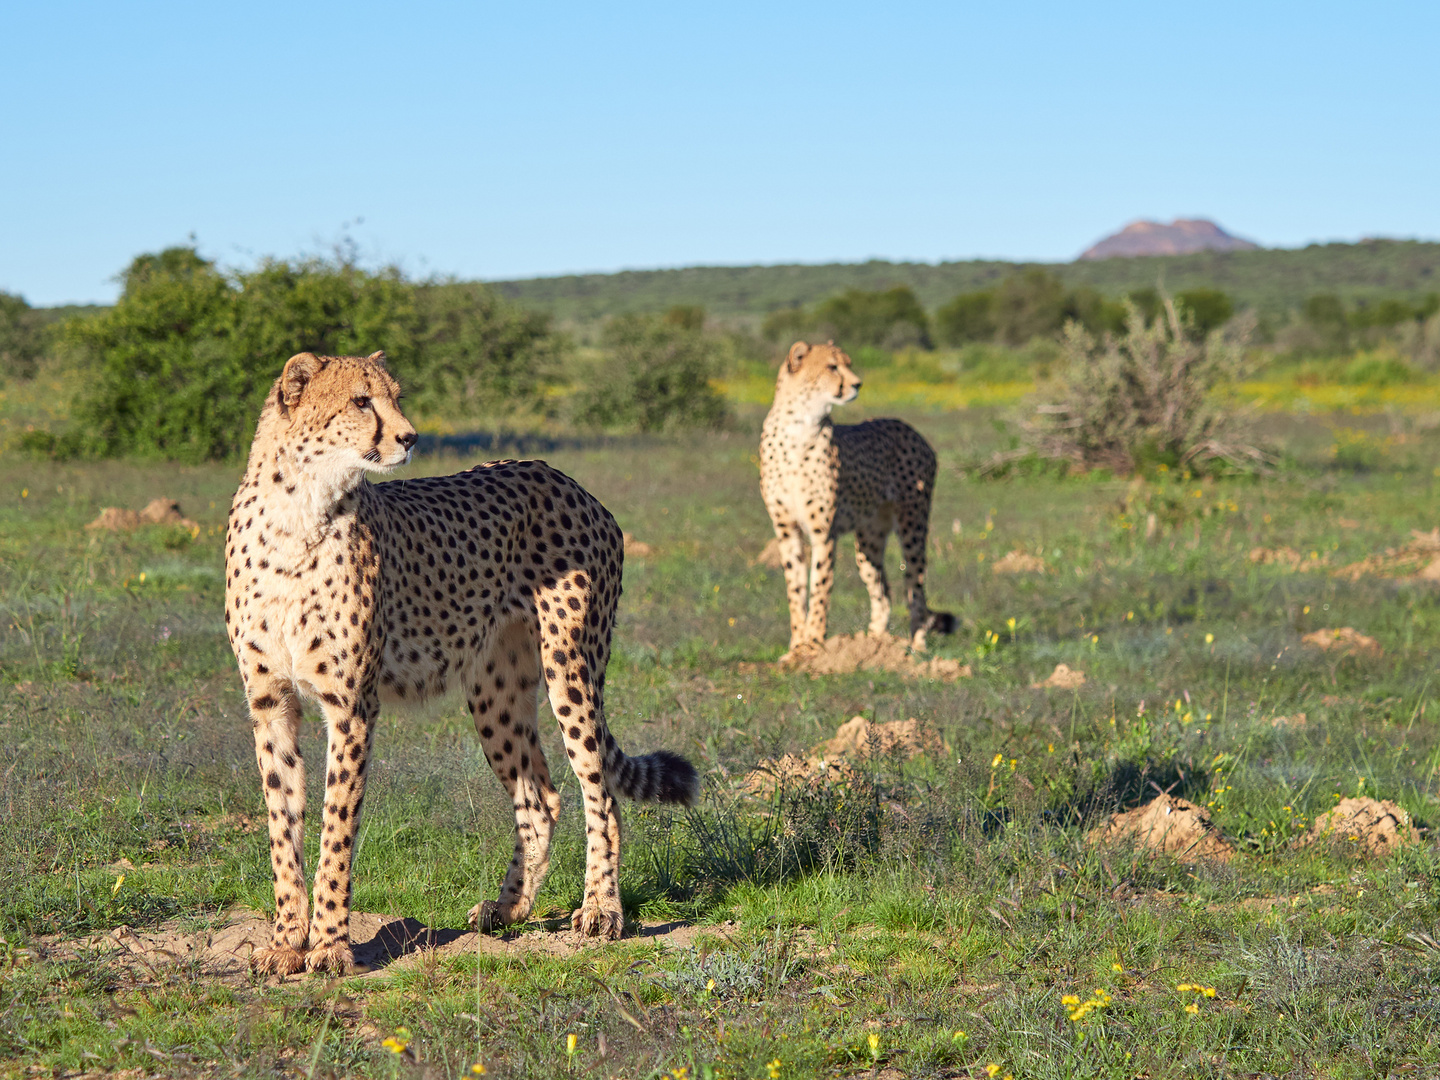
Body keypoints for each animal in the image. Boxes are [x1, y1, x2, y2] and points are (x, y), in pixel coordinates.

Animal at [224, 351, 696, 979]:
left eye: (395, 396)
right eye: (360, 401)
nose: (409, 437)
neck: (298, 509)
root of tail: (565, 479)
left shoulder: (351, 704)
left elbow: (335, 829)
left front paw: (328, 945)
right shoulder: (270, 701)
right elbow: (283, 827)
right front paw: (285, 941)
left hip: (570, 667)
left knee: (600, 792)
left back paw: (601, 910)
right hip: (495, 691)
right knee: (540, 799)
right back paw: (509, 908)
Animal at [754, 342, 956, 656]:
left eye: (848, 364)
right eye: (832, 367)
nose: (857, 384)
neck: (799, 423)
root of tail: (910, 429)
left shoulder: (823, 532)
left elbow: (820, 587)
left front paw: (814, 642)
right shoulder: (786, 529)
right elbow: (795, 589)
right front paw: (797, 646)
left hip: (913, 524)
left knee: (916, 589)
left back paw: (916, 649)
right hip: (868, 539)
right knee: (883, 593)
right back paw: (873, 645)